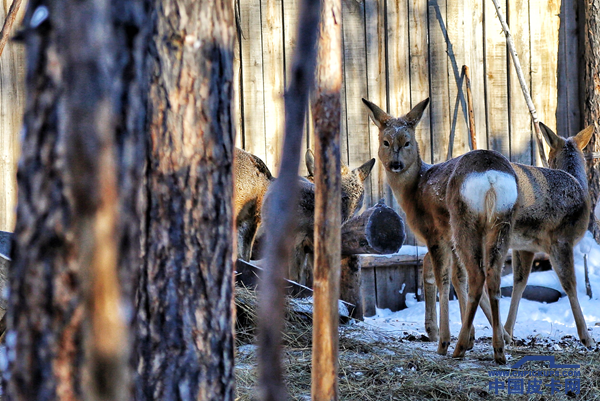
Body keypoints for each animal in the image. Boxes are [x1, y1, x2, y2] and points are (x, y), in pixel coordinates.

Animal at [364, 97, 524, 362]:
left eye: (407, 142)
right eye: (385, 142)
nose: (395, 164)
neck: (414, 189)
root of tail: (491, 177)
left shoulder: (435, 233)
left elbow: (443, 280)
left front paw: (445, 339)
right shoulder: (448, 238)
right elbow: (459, 279)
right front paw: (473, 338)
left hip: (464, 220)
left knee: (477, 275)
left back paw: (456, 347)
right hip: (502, 221)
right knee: (491, 276)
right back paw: (498, 349)